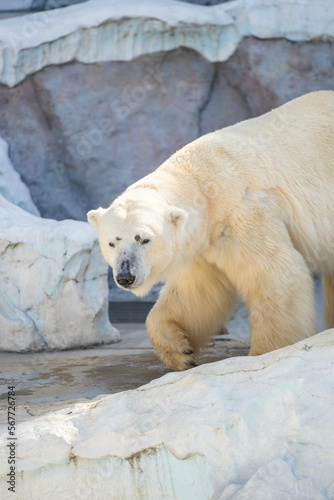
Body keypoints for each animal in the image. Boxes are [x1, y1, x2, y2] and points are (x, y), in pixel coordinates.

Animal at [87, 91, 334, 372]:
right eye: (111, 243)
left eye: (144, 239)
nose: (125, 276)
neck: (203, 184)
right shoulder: (203, 242)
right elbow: (198, 292)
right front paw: (181, 351)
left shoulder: (243, 215)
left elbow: (275, 275)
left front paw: (264, 355)